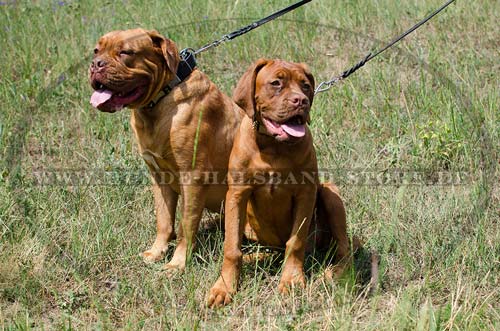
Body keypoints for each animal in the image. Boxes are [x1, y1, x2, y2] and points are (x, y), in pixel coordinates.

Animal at [89, 28, 243, 272]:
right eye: (96, 51)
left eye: (125, 52)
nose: (96, 64)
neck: (159, 101)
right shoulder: (159, 176)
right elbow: (163, 220)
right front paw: (157, 252)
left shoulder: (193, 178)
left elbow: (185, 224)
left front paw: (177, 263)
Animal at [205, 58, 350, 308]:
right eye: (276, 83)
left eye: (305, 86)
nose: (301, 101)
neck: (274, 147)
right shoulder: (237, 194)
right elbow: (232, 248)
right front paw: (224, 286)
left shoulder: (306, 193)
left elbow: (295, 242)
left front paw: (291, 280)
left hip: (330, 195)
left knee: (344, 248)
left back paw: (332, 274)